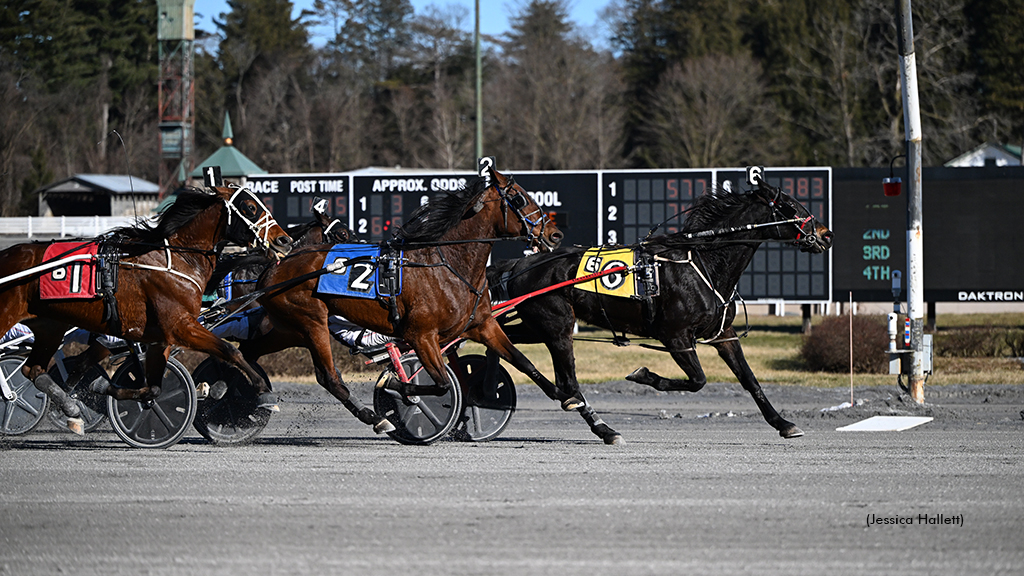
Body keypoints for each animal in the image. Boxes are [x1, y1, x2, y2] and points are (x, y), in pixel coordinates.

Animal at [0, 183, 292, 430]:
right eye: (250, 207)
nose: (284, 240)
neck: (177, 259)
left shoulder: (160, 337)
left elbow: (153, 388)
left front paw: (102, 387)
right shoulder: (181, 326)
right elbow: (231, 350)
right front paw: (263, 391)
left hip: (49, 326)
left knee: (33, 370)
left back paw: (70, 408)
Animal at [249, 166, 622, 438]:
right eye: (518, 197)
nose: (554, 235)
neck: (448, 265)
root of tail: (276, 266)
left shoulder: (482, 325)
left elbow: (526, 364)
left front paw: (584, 411)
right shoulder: (421, 335)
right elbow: (440, 383)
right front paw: (399, 390)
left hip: (288, 327)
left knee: (249, 351)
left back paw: (252, 393)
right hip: (311, 322)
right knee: (328, 377)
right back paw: (375, 417)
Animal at [487, 181, 831, 436]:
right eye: (790, 207)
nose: (825, 234)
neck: (705, 261)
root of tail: (520, 264)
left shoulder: (724, 334)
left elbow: (749, 379)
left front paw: (783, 423)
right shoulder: (675, 336)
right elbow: (697, 380)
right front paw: (643, 374)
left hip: (538, 325)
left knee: (504, 340)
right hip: (556, 326)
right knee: (566, 381)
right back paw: (602, 428)